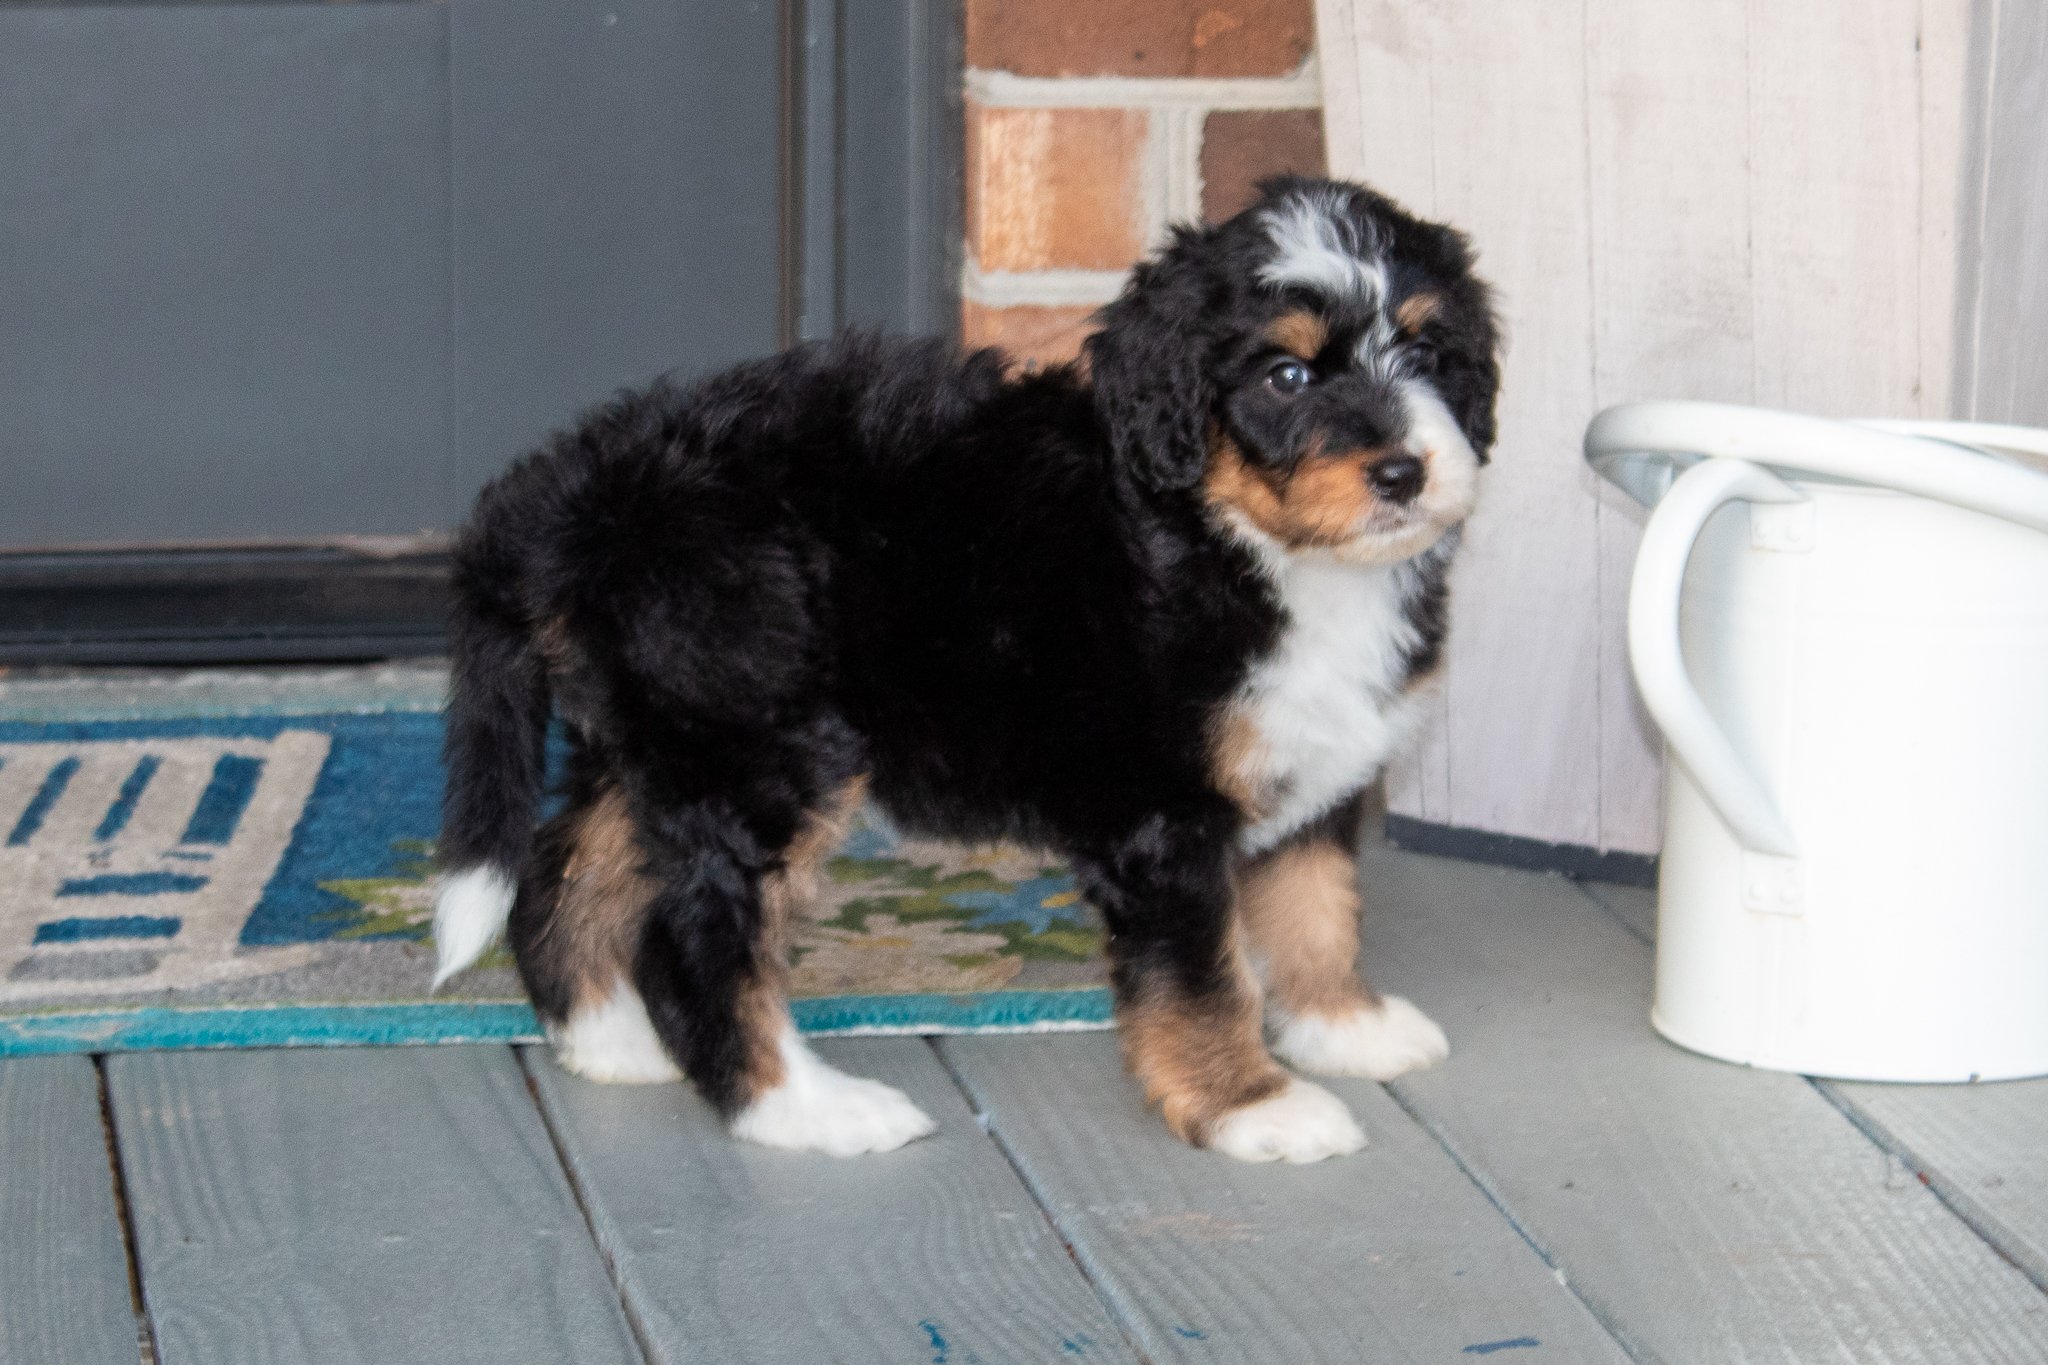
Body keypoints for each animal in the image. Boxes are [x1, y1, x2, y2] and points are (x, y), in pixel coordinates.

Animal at [432, 175, 1499, 1162]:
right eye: (1285, 376)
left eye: (1427, 355)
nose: (1402, 472)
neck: (1239, 539)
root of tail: (579, 483)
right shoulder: (1163, 813)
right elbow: (1205, 974)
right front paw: (1253, 1105)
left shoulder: (1314, 768)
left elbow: (1316, 904)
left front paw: (1343, 1026)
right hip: (767, 748)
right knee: (695, 934)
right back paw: (805, 1108)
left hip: (670, 736)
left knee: (567, 867)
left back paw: (608, 1040)